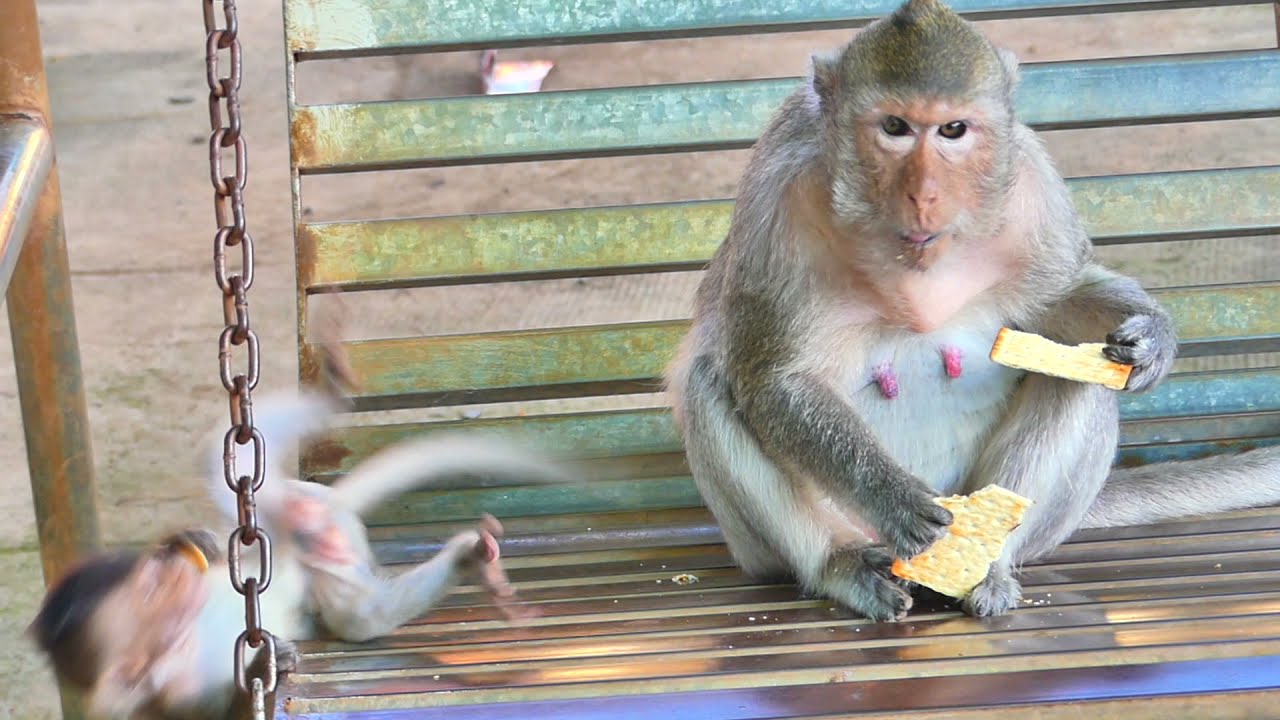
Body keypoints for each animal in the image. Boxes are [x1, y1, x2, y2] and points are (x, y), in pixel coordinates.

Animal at [30, 390, 572, 719]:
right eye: (153, 595)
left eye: (153, 580)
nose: (172, 573)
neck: (185, 641)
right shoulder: (164, 696)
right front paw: (258, 668)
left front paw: (193, 540)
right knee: (362, 618)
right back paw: (472, 560)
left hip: (303, 531)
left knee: (234, 472)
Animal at [664, 0, 1280, 624]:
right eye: (895, 128)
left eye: (953, 130)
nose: (924, 194)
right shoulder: (777, 203)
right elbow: (773, 379)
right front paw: (892, 498)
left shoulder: (1034, 187)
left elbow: (1061, 297)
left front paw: (1154, 336)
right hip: (767, 547)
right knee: (711, 382)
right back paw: (841, 566)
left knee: (1078, 379)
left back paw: (991, 565)